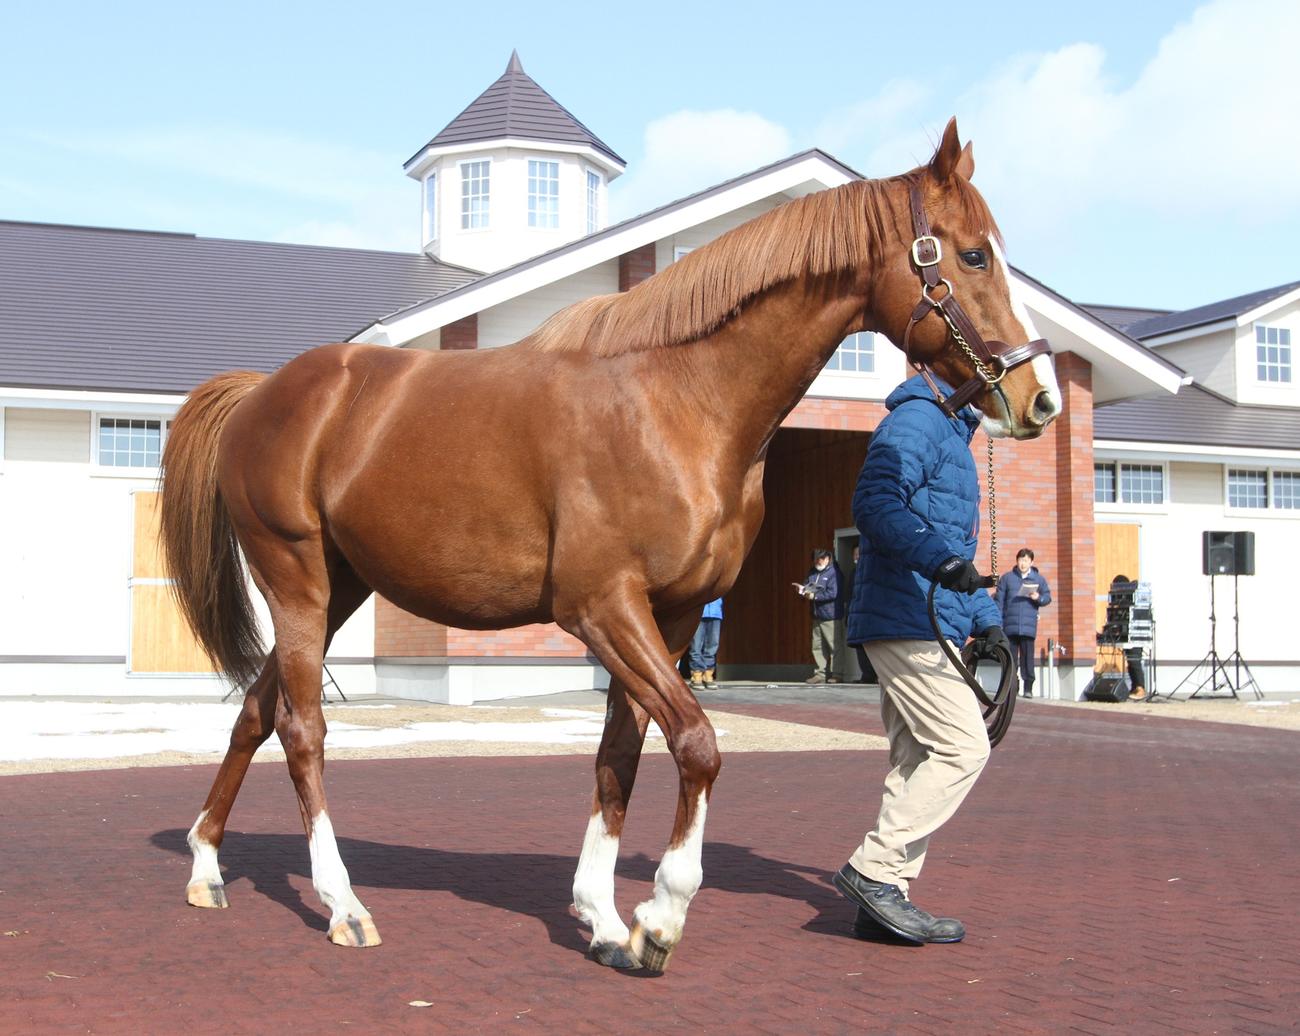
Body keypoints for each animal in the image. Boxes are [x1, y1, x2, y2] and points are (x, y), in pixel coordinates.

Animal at [160, 117, 1061, 973]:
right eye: (972, 253)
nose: (1040, 397)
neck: (678, 403)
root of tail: (266, 393)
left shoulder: (672, 614)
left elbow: (619, 754)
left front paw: (601, 919)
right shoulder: (603, 608)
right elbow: (696, 744)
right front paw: (660, 916)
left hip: (340, 588)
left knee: (256, 712)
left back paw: (206, 866)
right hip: (297, 579)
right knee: (302, 728)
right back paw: (343, 905)